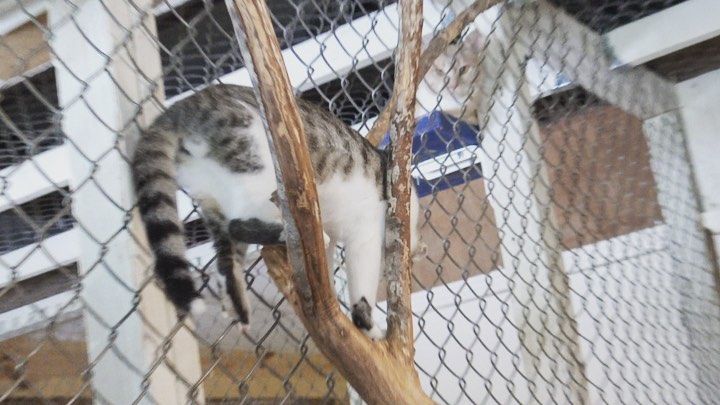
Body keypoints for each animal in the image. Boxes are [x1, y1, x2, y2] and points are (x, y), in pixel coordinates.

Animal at [132, 84, 424, 338]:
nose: (417, 248)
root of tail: (183, 106)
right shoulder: (366, 234)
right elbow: (362, 281)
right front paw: (369, 326)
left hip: (211, 197)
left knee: (227, 256)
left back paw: (240, 304)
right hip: (258, 163)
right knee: (238, 222)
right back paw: (287, 233)